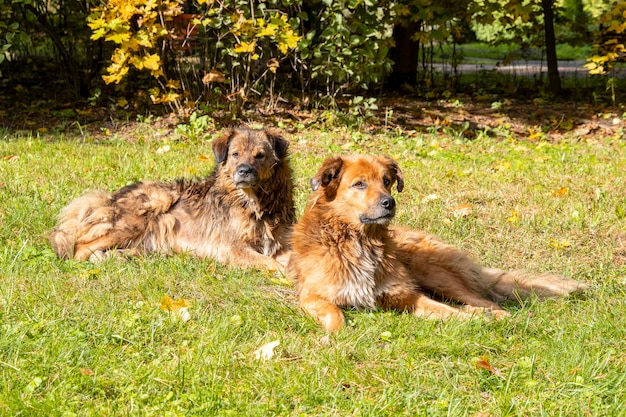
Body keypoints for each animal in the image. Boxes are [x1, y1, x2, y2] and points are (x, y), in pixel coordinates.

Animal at [48, 127, 294, 270]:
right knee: (79, 250)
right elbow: (272, 263)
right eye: (235, 154)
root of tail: (107, 199)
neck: (255, 205)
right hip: (152, 206)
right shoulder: (234, 248)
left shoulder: (282, 244)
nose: (243, 171)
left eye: (260, 155)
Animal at [286, 154, 588, 330]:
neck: (359, 239)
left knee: (484, 301)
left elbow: (446, 310)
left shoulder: (408, 296)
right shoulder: (313, 296)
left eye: (387, 181)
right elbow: (334, 315)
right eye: (359, 184)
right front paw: (334, 338)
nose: (389, 202)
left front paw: (474, 319)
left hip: (436, 274)